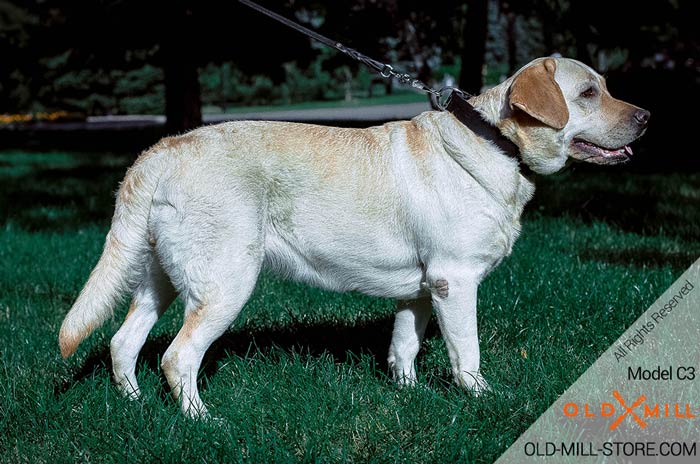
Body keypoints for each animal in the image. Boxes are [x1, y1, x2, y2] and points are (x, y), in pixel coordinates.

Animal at [60, 57, 652, 416]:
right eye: (589, 93)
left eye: (606, 88)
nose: (647, 116)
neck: (498, 142)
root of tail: (161, 151)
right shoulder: (455, 281)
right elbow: (467, 351)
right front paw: (482, 397)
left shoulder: (420, 289)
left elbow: (404, 346)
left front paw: (408, 392)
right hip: (225, 283)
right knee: (176, 357)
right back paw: (203, 422)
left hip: (159, 278)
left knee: (122, 342)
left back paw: (135, 406)